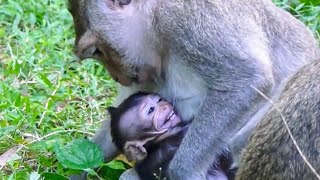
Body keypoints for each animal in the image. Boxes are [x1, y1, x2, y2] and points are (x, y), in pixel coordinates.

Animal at [66, 0, 318, 179]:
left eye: (97, 51)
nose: (116, 76)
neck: (155, 21)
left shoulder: (186, 21)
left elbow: (248, 79)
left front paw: (184, 172)